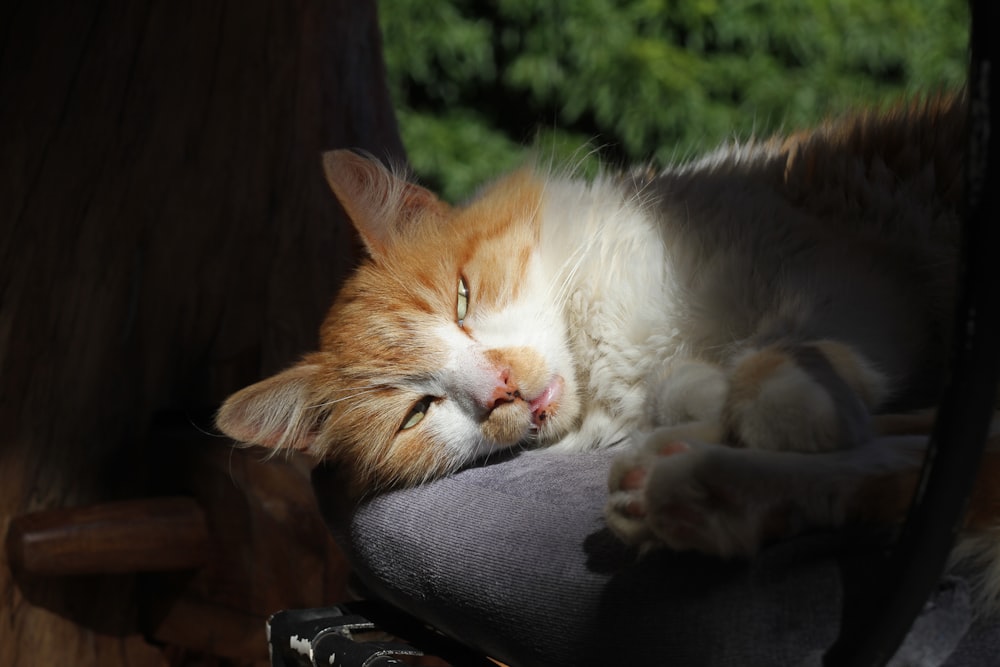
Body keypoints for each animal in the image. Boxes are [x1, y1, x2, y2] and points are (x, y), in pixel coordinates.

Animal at [215, 92, 1000, 604]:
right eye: (417, 412)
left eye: (462, 300)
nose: (500, 387)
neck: (608, 359)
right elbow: (696, 386)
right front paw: (718, 405)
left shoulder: (849, 273)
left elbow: (780, 346)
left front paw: (783, 399)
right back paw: (695, 489)